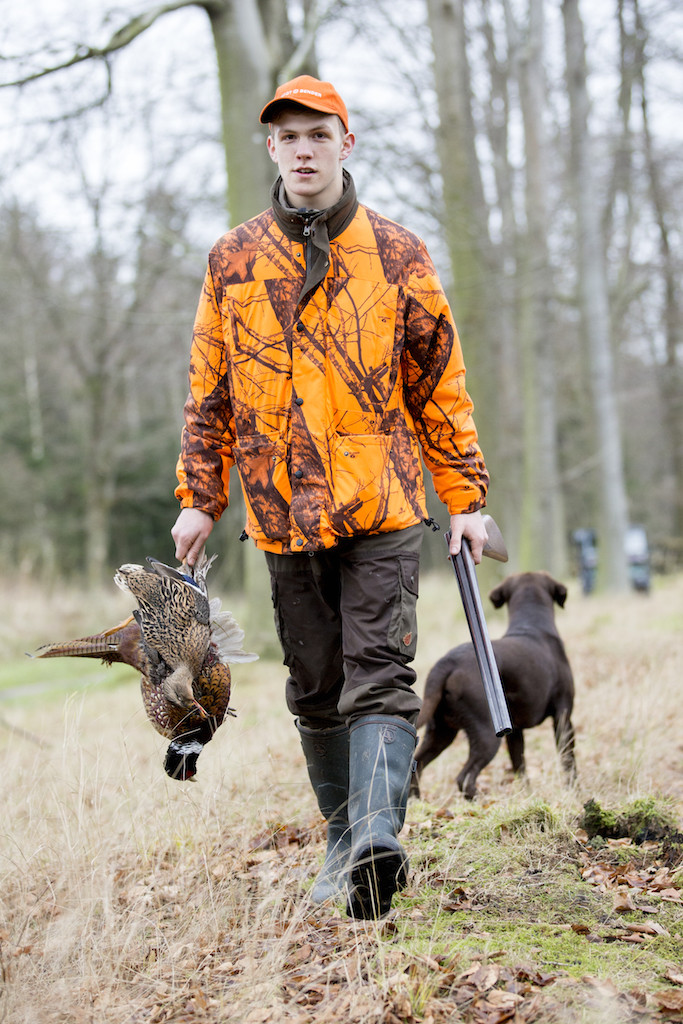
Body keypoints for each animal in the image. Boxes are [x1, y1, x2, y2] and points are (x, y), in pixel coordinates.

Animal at [411, 569, 577, 798]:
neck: (531, 626)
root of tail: (446, 663)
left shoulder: (515, 731)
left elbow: (519, 764)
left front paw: (525, 794)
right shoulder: (563, 715)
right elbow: (568, 758)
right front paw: (573, 790)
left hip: (441, 731)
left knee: (417, 766)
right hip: (486, 733)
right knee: (464, 778)